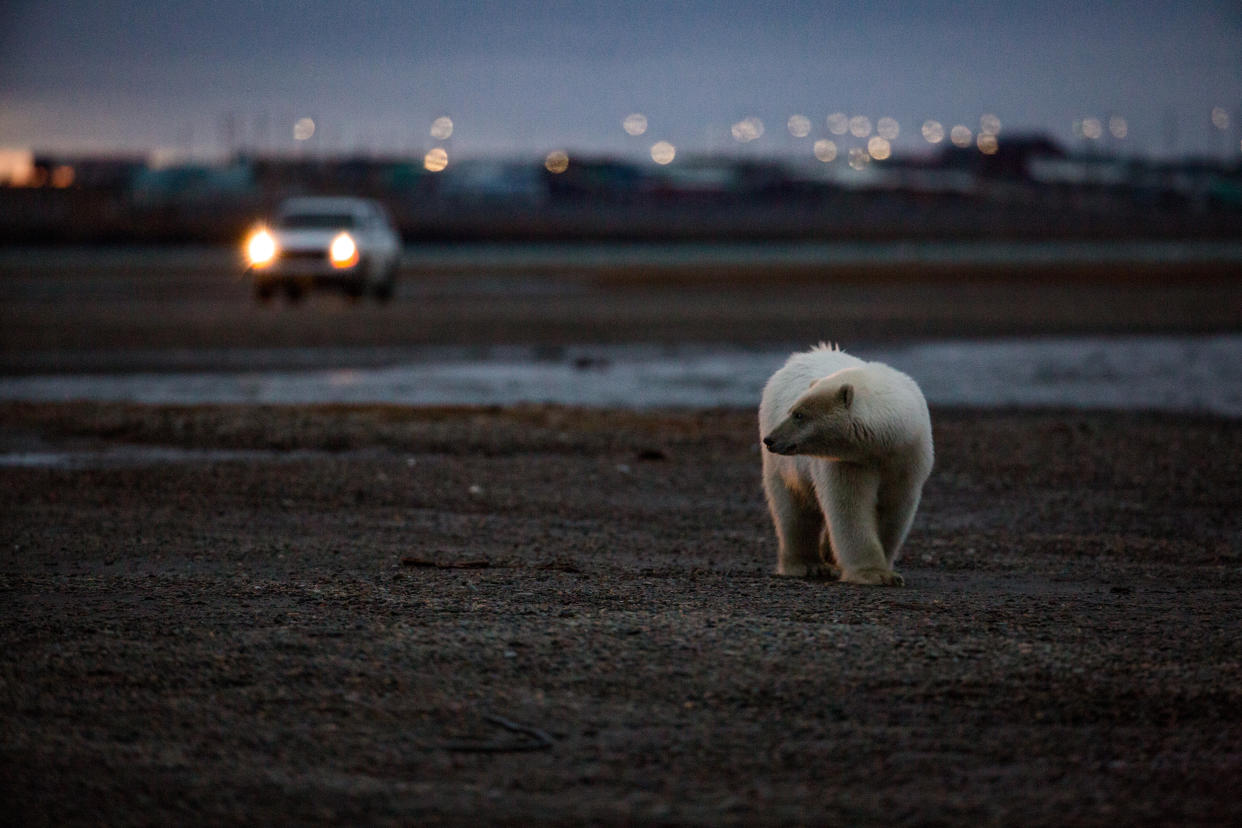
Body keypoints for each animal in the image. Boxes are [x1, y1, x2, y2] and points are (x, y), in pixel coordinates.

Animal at [755, 347, 933, 585]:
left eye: (799, 415)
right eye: (791, 410)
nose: (770, 439)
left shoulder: (907, 458)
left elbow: (894, 508)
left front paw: (888, 572)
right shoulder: (848, 462)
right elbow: (850, 506)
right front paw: (874, 573)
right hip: (783, 466)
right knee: (793, 510)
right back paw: (808, 565)